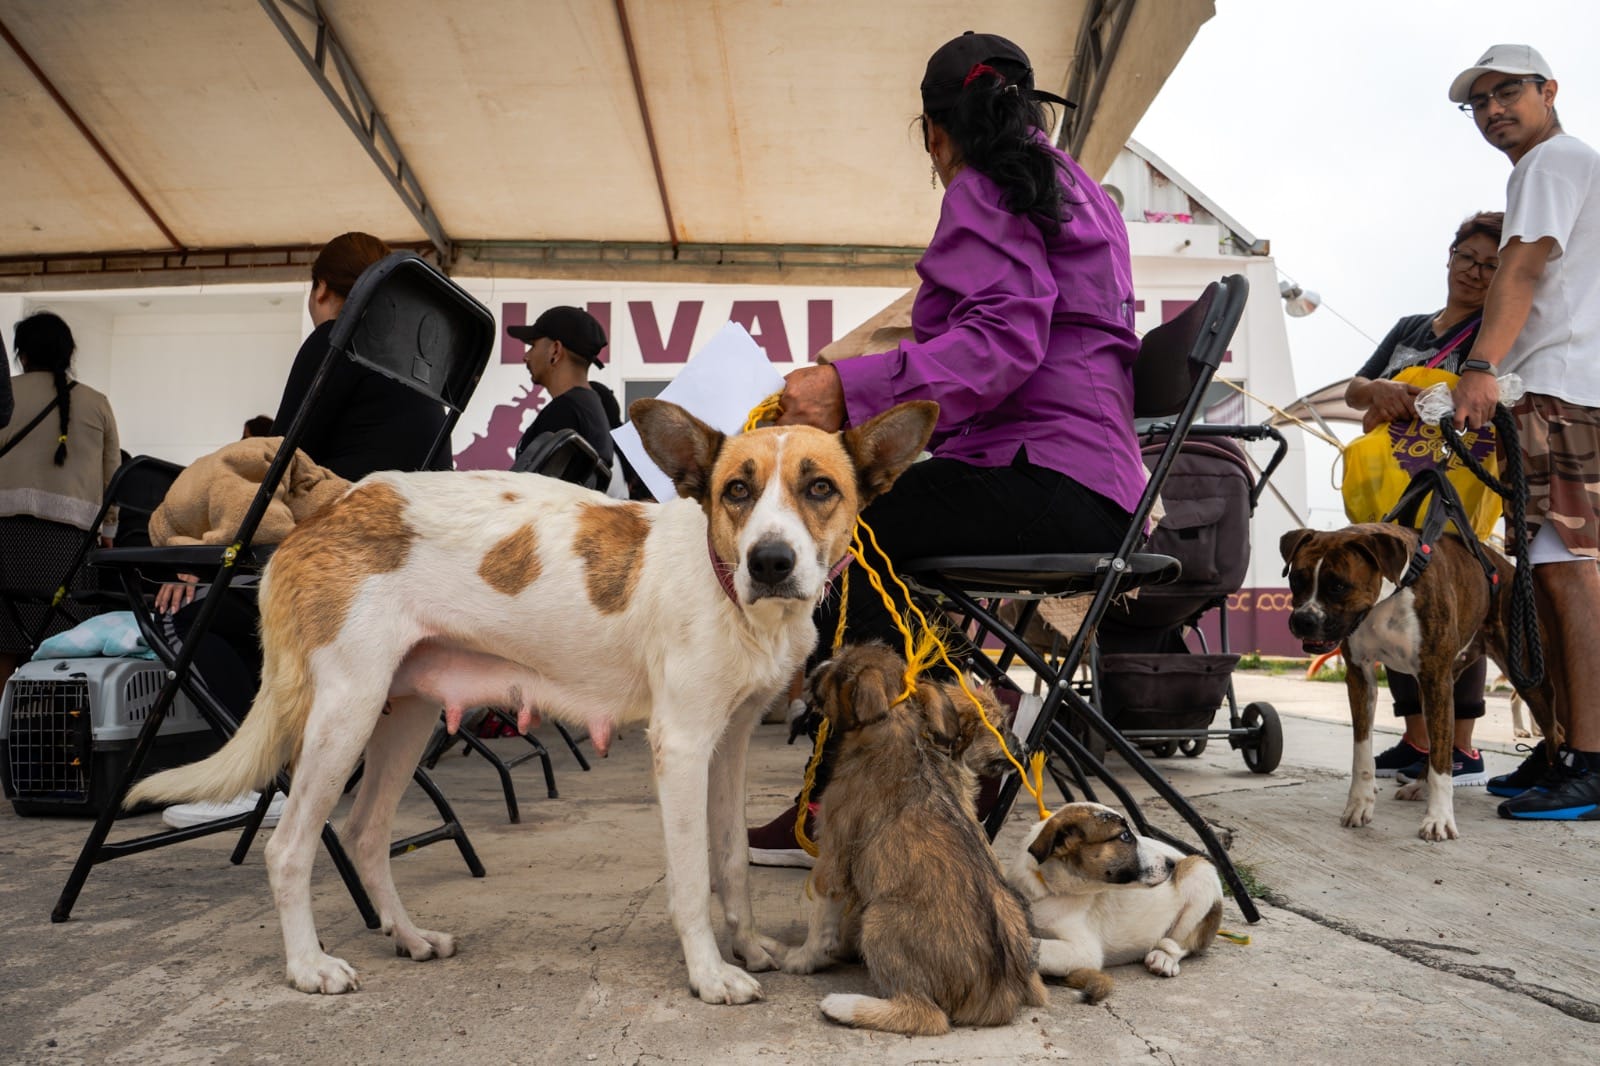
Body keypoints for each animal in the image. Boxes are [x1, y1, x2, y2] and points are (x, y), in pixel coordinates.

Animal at [134, 396, 947, 998]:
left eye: (821, 489)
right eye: (736, 492)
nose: (770, 562)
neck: (728, 588)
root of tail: (327, 511)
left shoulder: (731, 744)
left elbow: (731, 863)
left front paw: (746, 945)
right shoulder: (682, 745)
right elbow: (691, 878)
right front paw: (709, 973)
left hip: (404, 715)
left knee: (364, 835)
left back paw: (408, 936)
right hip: (345, 713)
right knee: (290, 847)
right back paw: (308, 967)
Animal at [777, 640, 1049, 1030]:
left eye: (837, 674)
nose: (815, 665)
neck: (899, 727)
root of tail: (1003, 991)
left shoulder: (834, 856)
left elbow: (821, 918)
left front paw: (803, 958)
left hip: (880, 919)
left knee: (924, 1015)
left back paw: (842, 1005)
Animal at [1011, 797, 1222, 998]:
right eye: (1125, 836)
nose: (1172, 864)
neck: (1047, 891)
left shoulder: (1084, 951)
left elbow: (1037, 946)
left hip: (1200, 871)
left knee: (1183, 942)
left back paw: (1164, 958)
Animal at [1280, 521, 1555, 838]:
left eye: (1338, 586)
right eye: (1296, 580)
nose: (1303, 620)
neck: (1387, 599)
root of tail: (1507, 568)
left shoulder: (1435, 678)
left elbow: (1441, 764)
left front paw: (1439, 819)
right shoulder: (1361, 677)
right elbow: (1362, 750)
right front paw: (1360, 804)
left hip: (1527, 676)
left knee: (1555, 731)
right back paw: (1420, 786)